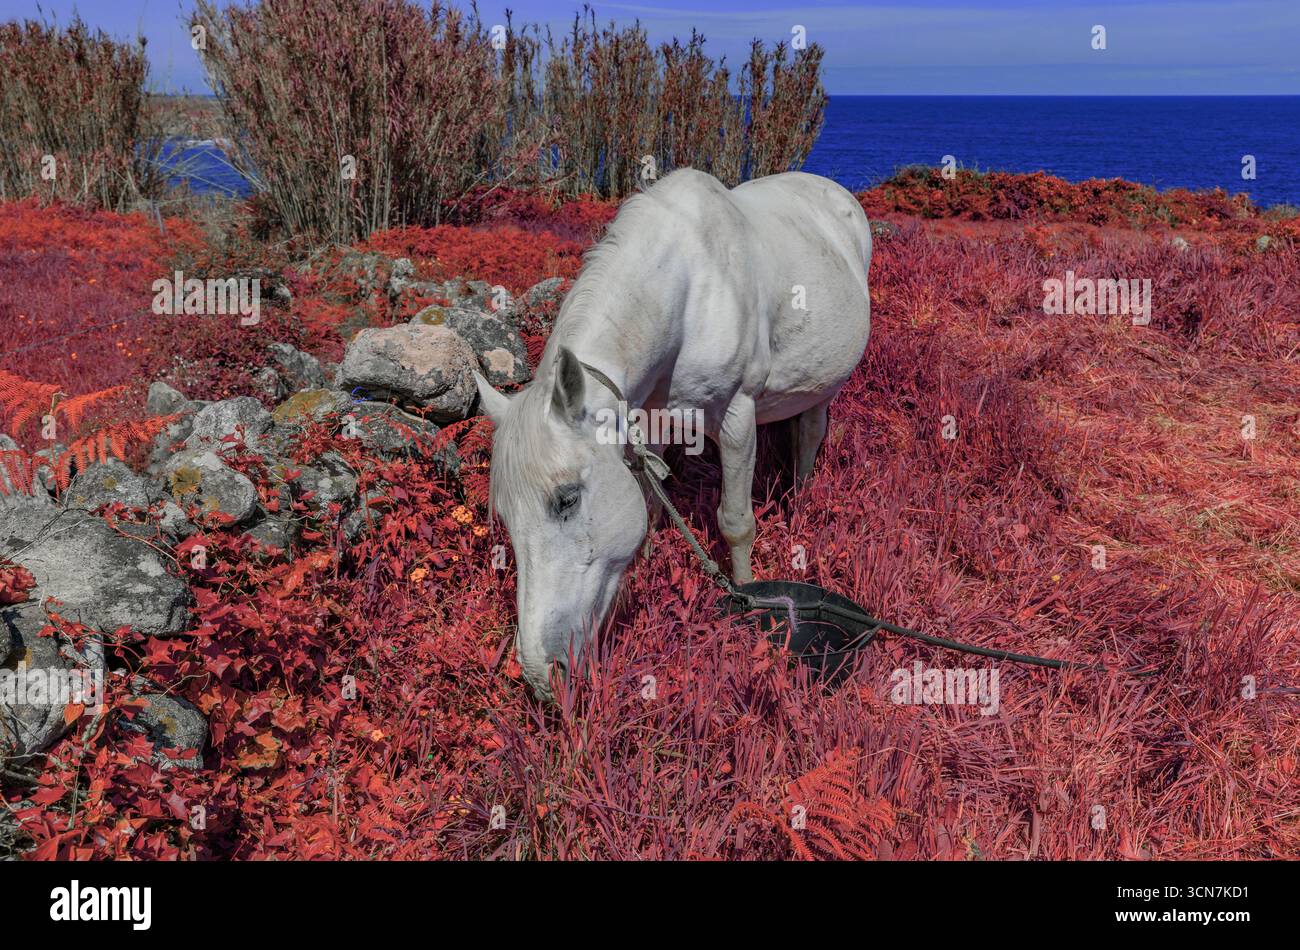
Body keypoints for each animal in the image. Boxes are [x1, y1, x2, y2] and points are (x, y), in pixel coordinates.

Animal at [473, 168, 873, 699]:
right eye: (504, 518)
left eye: (566, 500)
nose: (542, 674)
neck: (690, 292)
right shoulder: (647, 417)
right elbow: (650, 498)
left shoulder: (737, 416)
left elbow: (735, 521)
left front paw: (747, 597)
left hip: (824, 389)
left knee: (810, 430)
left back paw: (800, 501)